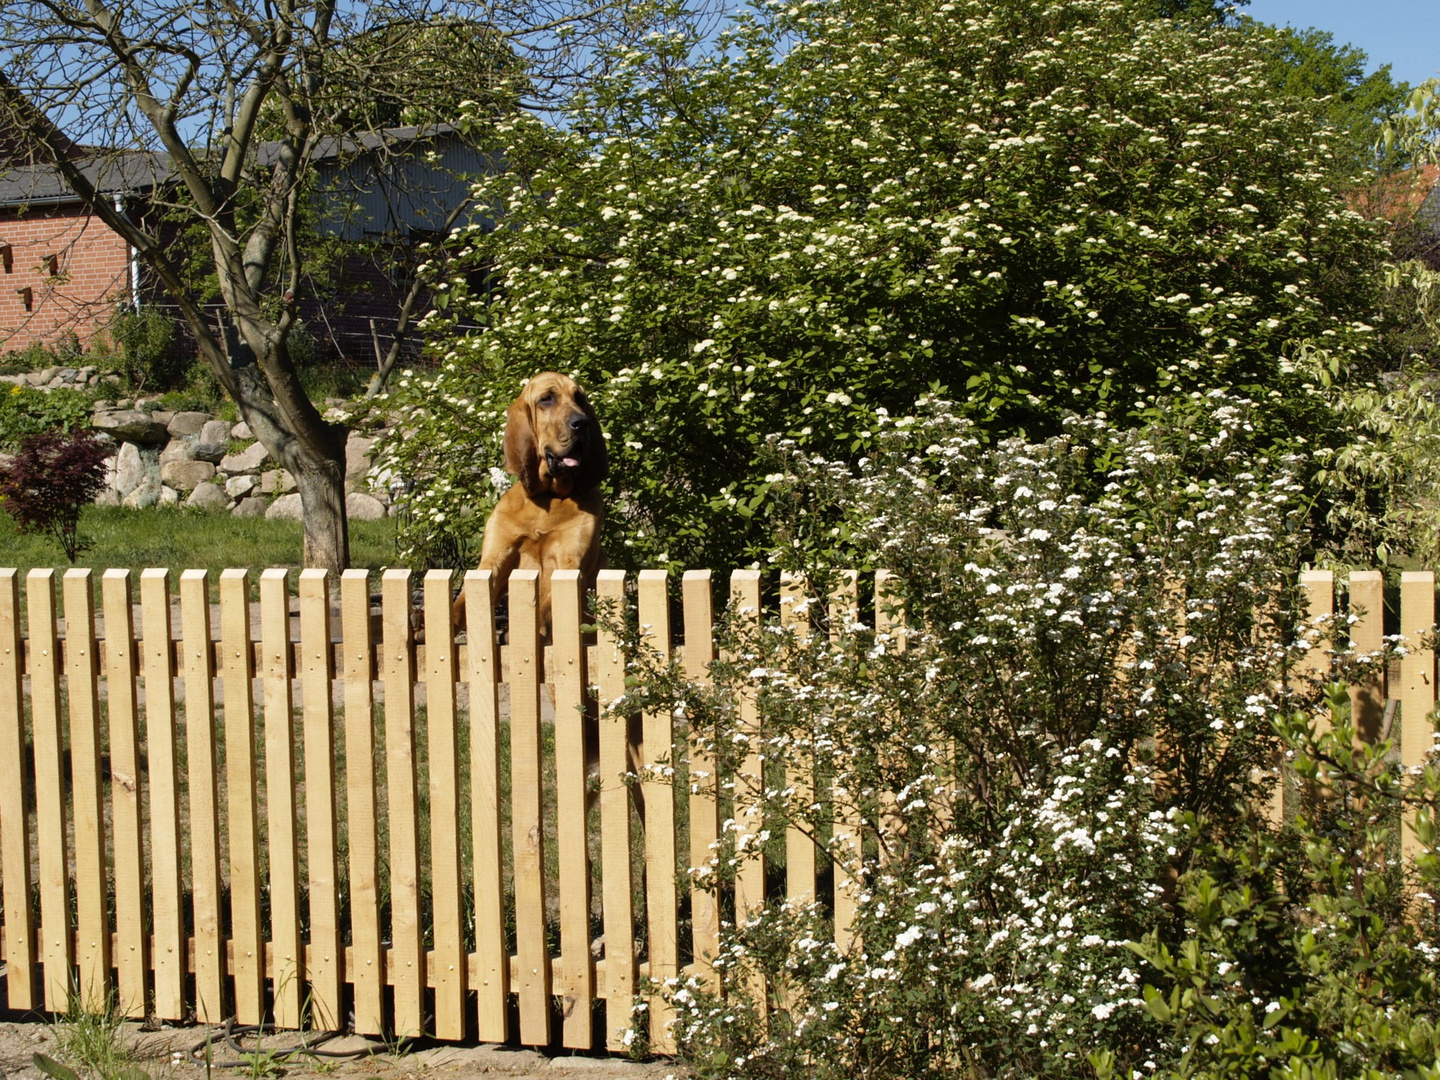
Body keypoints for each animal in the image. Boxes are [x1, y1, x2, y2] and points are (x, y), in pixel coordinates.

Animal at [452, 371, 604, 633]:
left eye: (580, 398)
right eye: (546, 399)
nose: (582, 422)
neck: (547, 497)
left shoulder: (570, 562)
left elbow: (550, 604)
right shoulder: (493, 561)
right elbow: (460, 605)